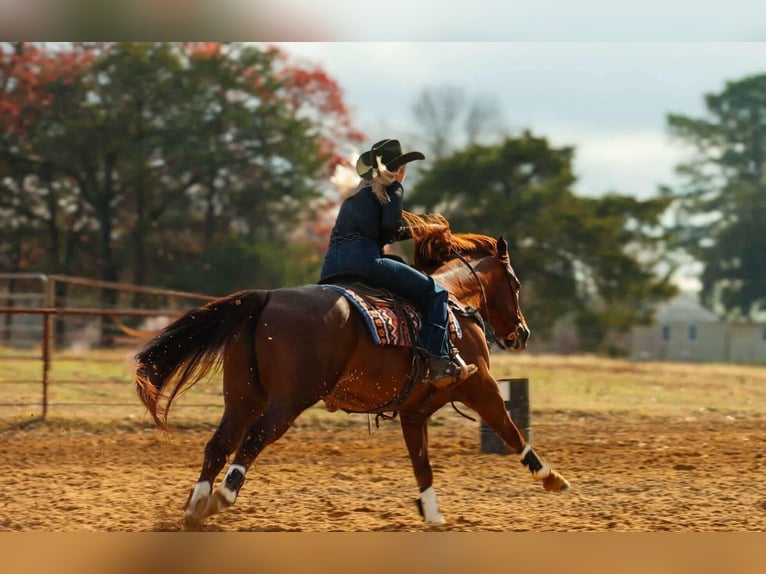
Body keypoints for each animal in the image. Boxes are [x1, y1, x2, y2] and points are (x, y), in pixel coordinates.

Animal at [134, 223, 570, 528]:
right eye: (515, 283)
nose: (522, 333)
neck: (455, 305)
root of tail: (268, 297)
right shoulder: (481, 387)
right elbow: (511, 430)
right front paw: (551, 477)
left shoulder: (413, 413)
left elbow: (422, 463)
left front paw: (432, 515)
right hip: (289, 400)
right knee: (254, 438)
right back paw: (221, 498)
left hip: (243, 397)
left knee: (219, 444)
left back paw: (194, 508)